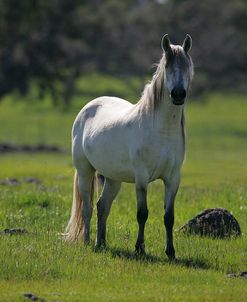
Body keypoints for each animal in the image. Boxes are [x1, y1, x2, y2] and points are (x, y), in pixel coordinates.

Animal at [64, 33, 195, 260]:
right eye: (167, 66)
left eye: (186, 66)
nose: (178, 94)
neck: (162, 131)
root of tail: (88, 106)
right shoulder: (142, 177)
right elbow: (142, 213)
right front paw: (140, 248)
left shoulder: (173, 179)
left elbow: (169, 216)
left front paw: (170, 252)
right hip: (85, 172)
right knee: (87, 208)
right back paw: (88, 242)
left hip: (113, 178)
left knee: (102, 206)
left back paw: (101, 243)